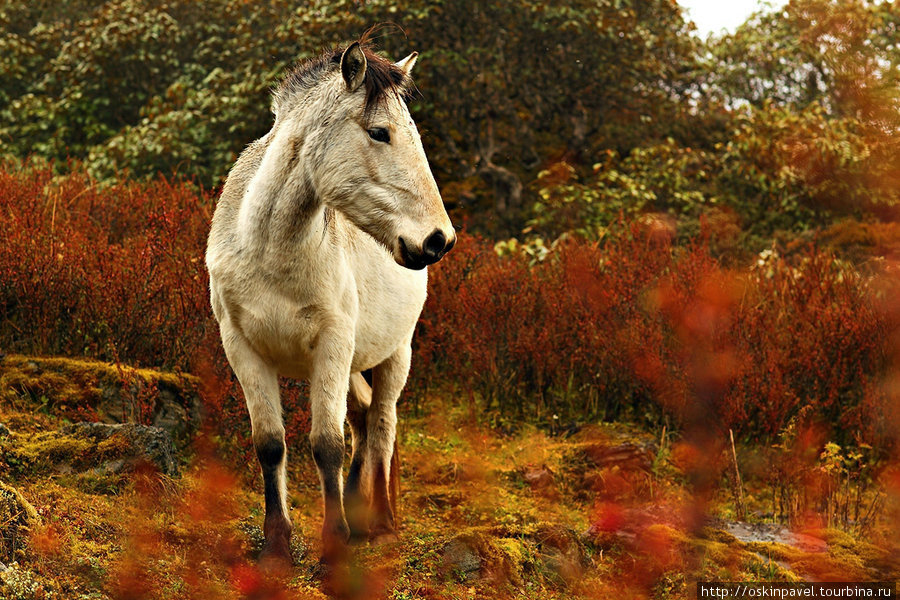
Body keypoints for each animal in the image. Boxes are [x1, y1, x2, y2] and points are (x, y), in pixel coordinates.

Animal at [207, 39, 454, 564]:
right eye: (379, 133)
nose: (438, 240)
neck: (269, 251)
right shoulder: (243, 349)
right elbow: (270, 444)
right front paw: (277, 545)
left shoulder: (333, 346)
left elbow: (327, 444)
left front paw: (334, 543)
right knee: (362, 417)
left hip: (395, 356)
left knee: (381, 423)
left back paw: (381, 522)